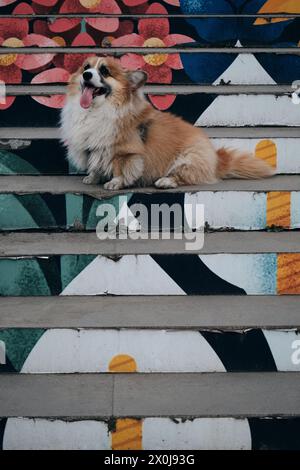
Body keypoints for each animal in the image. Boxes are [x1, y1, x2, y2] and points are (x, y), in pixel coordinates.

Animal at [60, 57, 274, 191]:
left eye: (104, 71)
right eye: (85, 67)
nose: (87, 75)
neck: (97, 109)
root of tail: (216, 159)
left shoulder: (125, 152)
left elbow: (121, 168)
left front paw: (115, 182)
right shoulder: (95, 146)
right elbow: (95, 163)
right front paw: (92, 177)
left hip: (188, 158)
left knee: (186, 176)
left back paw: (166, 181)